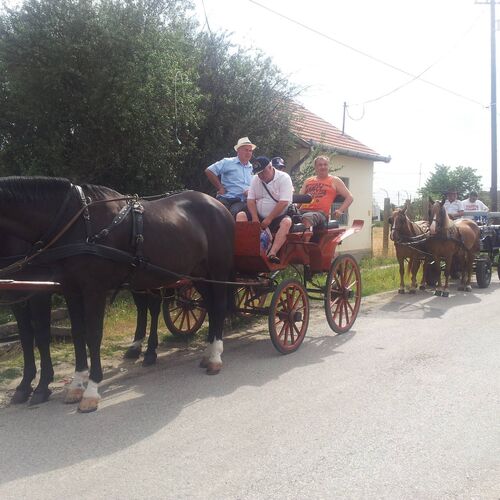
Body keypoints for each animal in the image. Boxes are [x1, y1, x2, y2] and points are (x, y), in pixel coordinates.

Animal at [0, 177, 234, 412]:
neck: (75, 222)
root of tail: (217, 204)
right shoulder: (71, 290)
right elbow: (76, 334)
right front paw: (76, 385)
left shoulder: (92, 290)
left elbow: (92, 335)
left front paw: (90, 390)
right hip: (198, 274)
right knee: (210, 307)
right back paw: (207, 353)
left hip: (217, 270)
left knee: (219, 306)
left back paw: (215, 358)